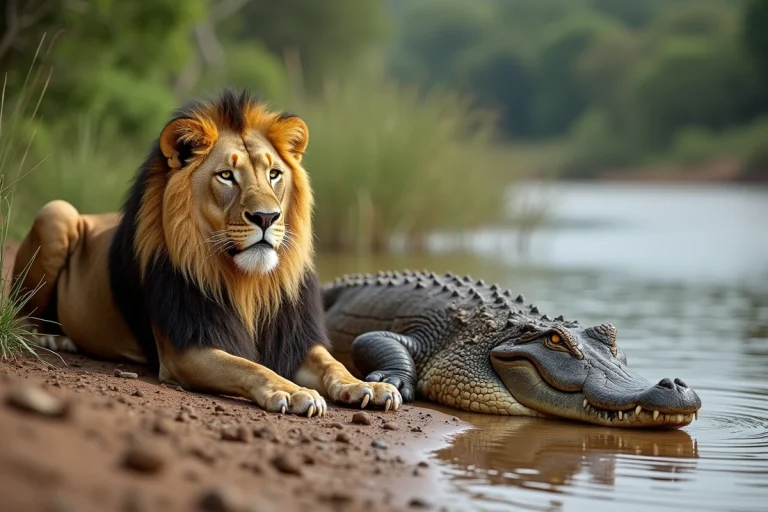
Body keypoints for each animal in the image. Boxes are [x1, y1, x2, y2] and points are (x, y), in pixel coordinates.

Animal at [12, 88, 401, 416]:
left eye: (274, 174)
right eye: (226, 176)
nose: (266, 217)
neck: (249, 283)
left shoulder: (297, 340)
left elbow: (332, 363)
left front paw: (366, 385)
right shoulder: (186, 350)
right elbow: (250, 366)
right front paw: (292, 391)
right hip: (56, 212)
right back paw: (55, 337)